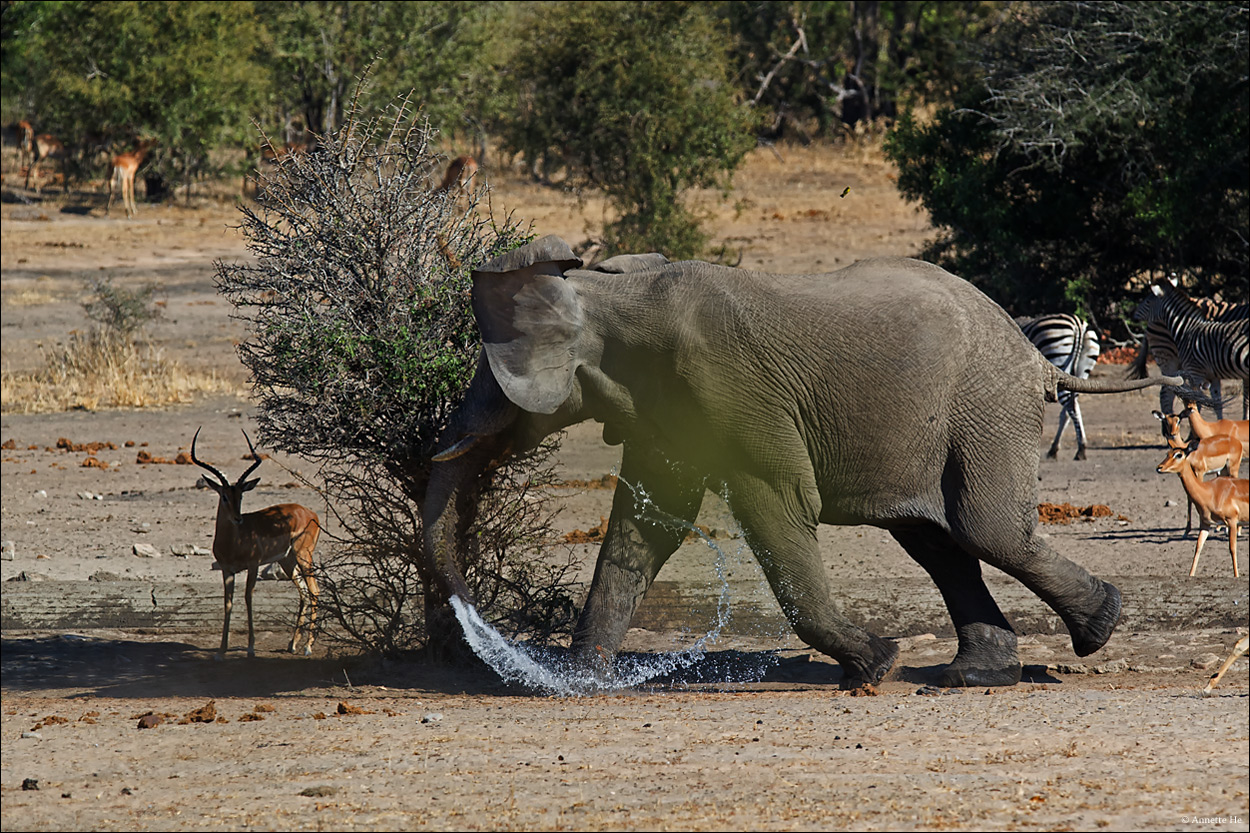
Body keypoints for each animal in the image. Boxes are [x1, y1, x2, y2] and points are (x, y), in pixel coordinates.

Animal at [1015, 312, 1105, 460]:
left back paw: (1079, 449)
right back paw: (1057, 449)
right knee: (1070, 409)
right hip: (1082, 372)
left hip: (1058, 359)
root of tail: (1078, 325)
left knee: (1071, 408)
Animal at [1135, 278, 1250, 417]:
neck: (1188, 328)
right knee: (1166, 393)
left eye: (1147, 301)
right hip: (1167, 358)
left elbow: (1216, 401)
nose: (1133, 314)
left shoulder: (1207, 373)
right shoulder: (1197, 372)